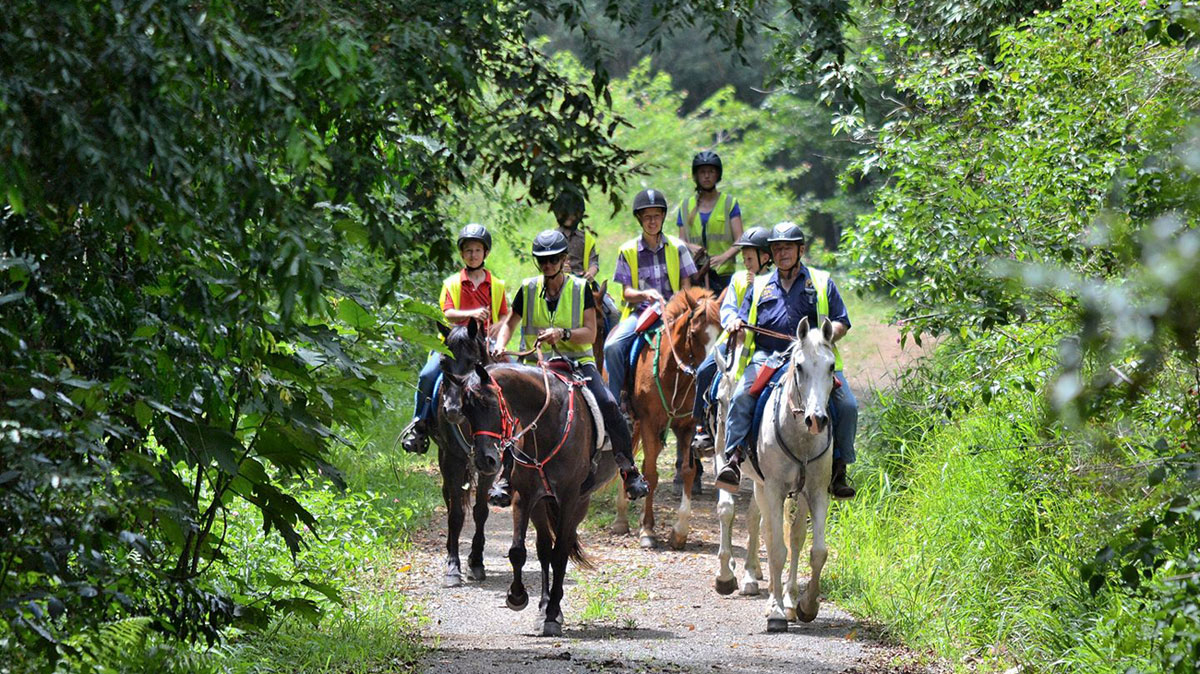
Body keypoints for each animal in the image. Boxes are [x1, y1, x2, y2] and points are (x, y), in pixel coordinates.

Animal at [451, 359, 619, 633]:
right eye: (466, 410)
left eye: (488, 404)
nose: (485, 460)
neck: (547, 424)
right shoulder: (525, 496)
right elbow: (519, 551)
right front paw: (518, 597)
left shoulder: (570, 498)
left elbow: (560, 554)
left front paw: (552, 615)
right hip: (542, 505)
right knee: (543, 550)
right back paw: (543, 605)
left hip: (580, 504)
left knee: (561, 546)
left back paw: (553, 609)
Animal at [619, 285, 720, 549]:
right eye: (694, 333)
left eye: (722, 333)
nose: (711, 371)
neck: (675, 372)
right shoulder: (648, 422)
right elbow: (651, 474)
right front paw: (647, 530)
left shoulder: (687, 426)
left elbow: (687, 472)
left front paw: (680, 532)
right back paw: (621, 520)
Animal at [748, 314, 835, 628]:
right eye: (799, 366)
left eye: (831, 366)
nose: (817, 419)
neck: (801, 441)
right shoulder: (773, 489)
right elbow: (776, 550)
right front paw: (774, 611)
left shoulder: (817, 492)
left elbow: (816, 550)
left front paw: (806, 605)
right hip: (757, 485)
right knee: (758, 526)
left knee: (793, 537)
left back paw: (788, 599)